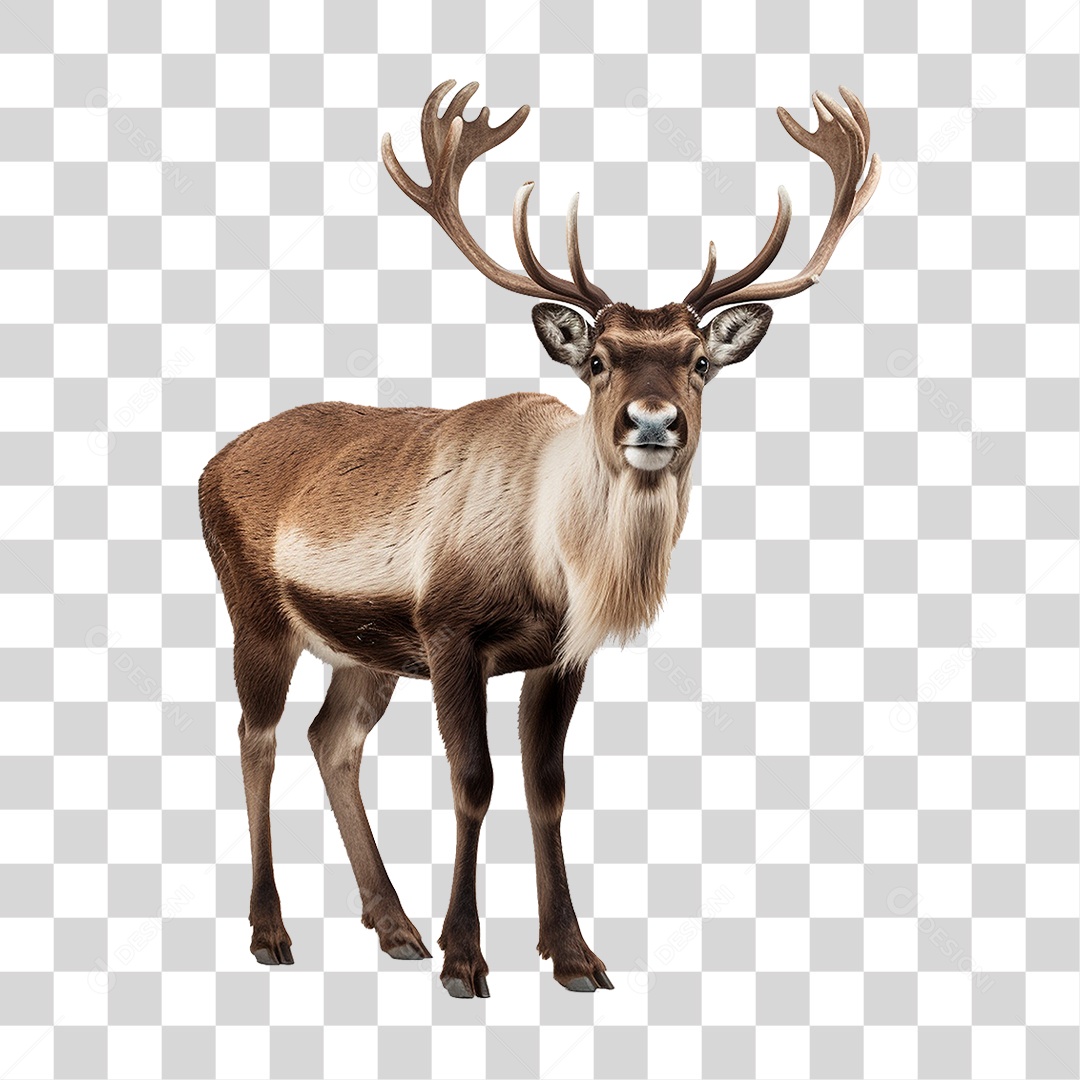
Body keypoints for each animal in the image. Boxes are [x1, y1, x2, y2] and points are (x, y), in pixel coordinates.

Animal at [198, 80, 879, 998]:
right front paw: (465, 958)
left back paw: (394, 926)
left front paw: (574, 955)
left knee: (329, 739)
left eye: (699, 361)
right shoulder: (449, 630)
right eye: (597, 360)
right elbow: (474, 780)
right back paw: (273, 931)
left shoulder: (561, 652)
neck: (554, 562)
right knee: (256, 737)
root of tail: (207, 467)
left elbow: (546, 786)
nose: (652, 421)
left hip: (363, 650)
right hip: (256, 615)